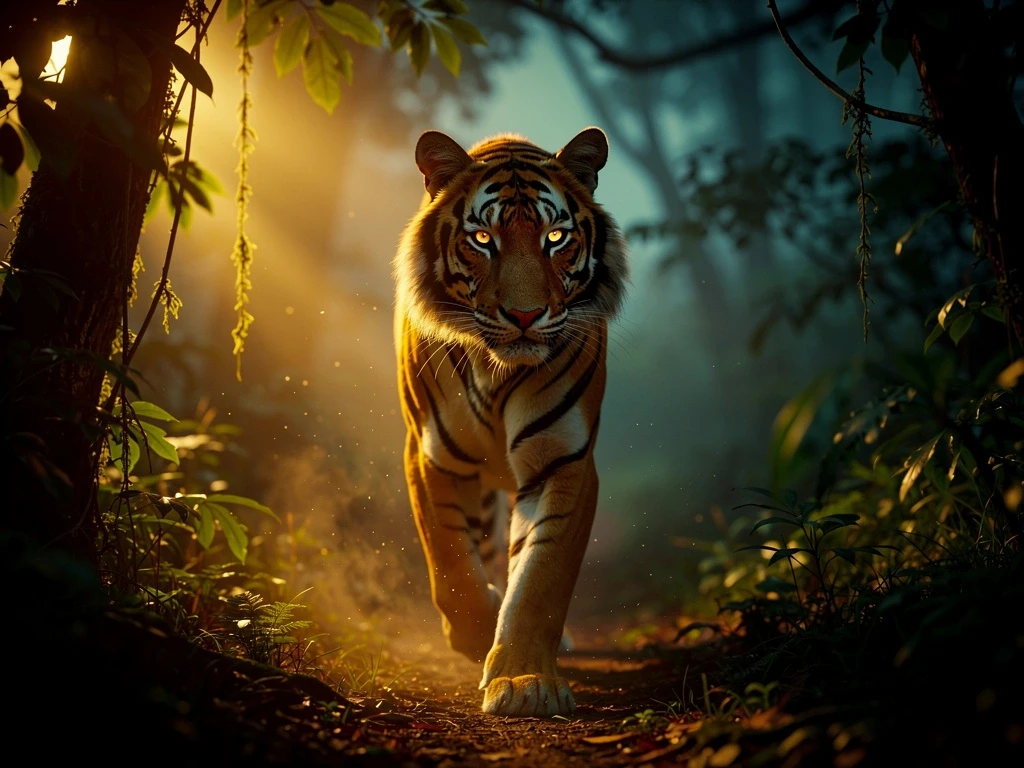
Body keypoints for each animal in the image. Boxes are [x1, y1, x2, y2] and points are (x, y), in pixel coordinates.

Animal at [393, 127, 628, 717]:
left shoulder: (564, 462)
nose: (524, 316)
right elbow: (451, 565)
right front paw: (477, 638)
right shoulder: (431, 457)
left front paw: (523, 680)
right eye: (482, 238)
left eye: (555, 236)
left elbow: (540, 577)